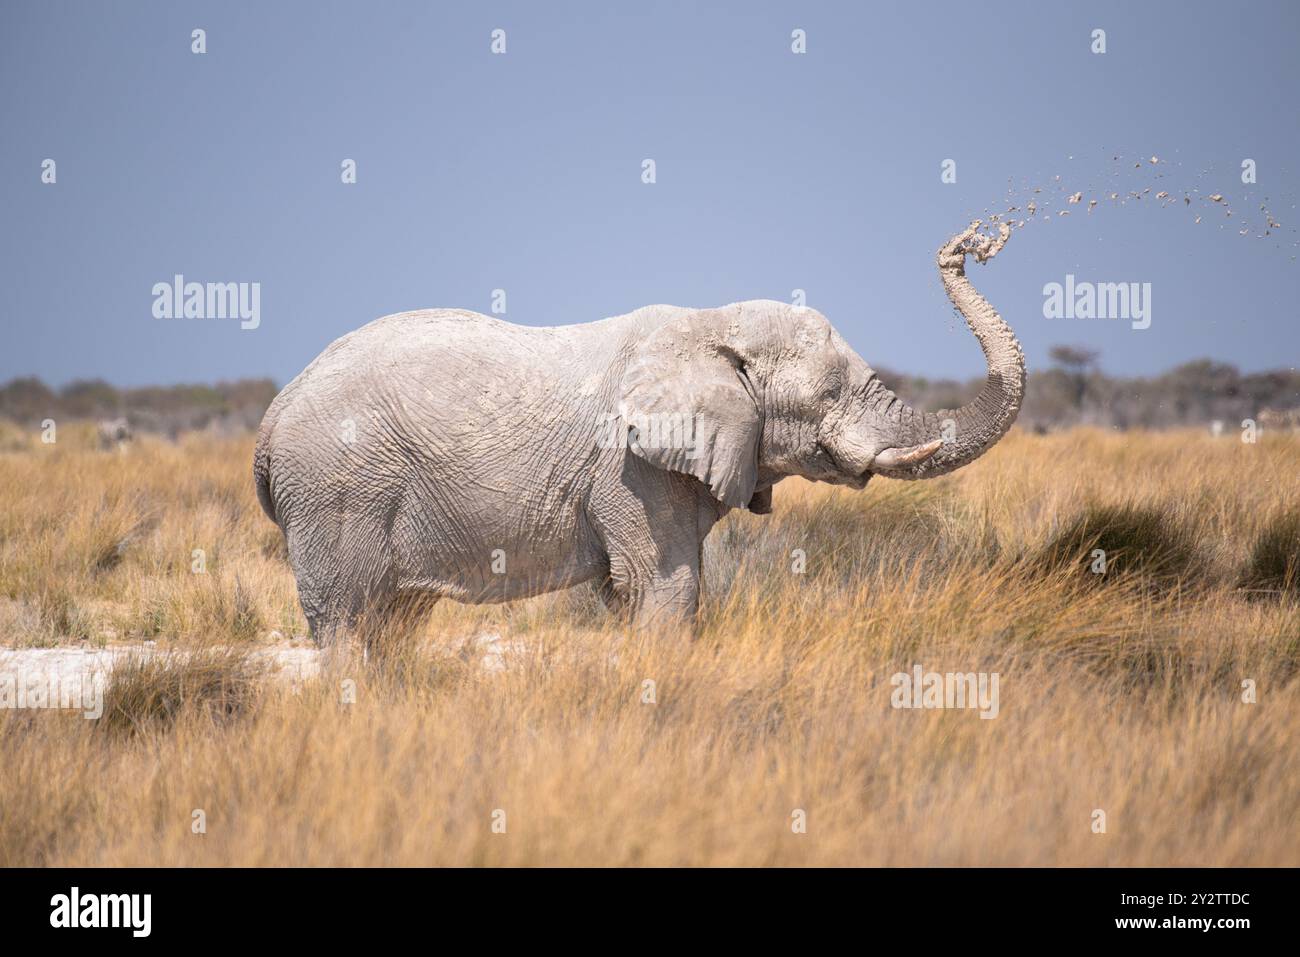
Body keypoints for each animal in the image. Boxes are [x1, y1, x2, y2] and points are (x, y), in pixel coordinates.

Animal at [256, 221, 1024, 647]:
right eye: (829, 393)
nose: (973, 244)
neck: (710, 322)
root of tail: (270, 420)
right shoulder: (630, 468)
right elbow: (665, 586)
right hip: (338, 490)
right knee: (348, 619)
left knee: (396, 620)